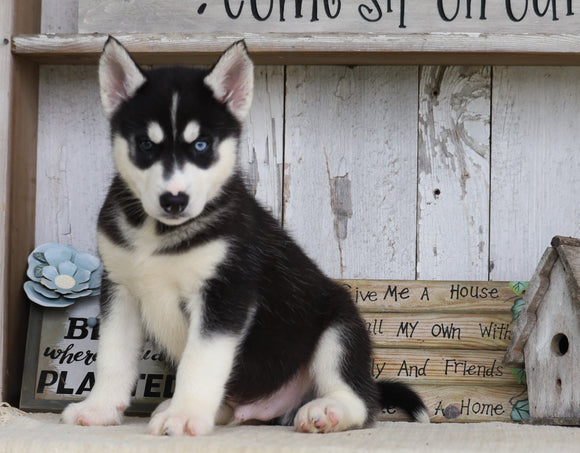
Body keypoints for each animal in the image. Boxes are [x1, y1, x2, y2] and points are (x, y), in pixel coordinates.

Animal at [61, 38, 428, 434]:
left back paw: (326, 411)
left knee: (360, 400)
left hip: (339, 324)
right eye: (145, 144)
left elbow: (199, 362)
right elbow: (112, 358)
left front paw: (185, 416)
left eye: (202, 145)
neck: (159, 234)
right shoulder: (120, 290)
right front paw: (98, 409)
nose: (174, 200)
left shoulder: (226, 293)